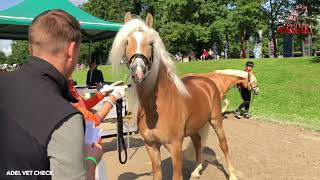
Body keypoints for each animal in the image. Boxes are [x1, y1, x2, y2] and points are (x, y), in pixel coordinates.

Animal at [110, 12, 238, 180]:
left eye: (151, 43)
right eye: (126, 42)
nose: (138, 72)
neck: (156, 109)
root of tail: (207, 81)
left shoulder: (175, 146)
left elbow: (177, 175)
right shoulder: (151, 146)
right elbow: (157, 175)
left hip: (216, 120)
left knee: (223, 145)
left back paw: (232, 174)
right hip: (194, 126)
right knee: (198, 142)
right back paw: (196, 171)